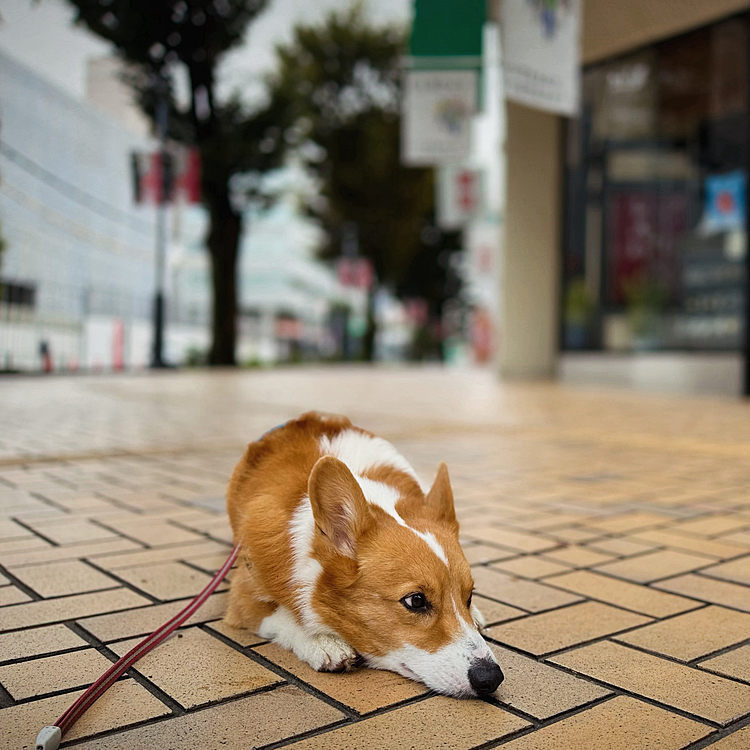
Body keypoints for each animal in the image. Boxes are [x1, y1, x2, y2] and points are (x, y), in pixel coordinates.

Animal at [225, 412, 506, 700]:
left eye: (469, 595)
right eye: (415, 601)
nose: (491, 678)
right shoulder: (243, 595)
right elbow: (282, 616)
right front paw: (322, 642)